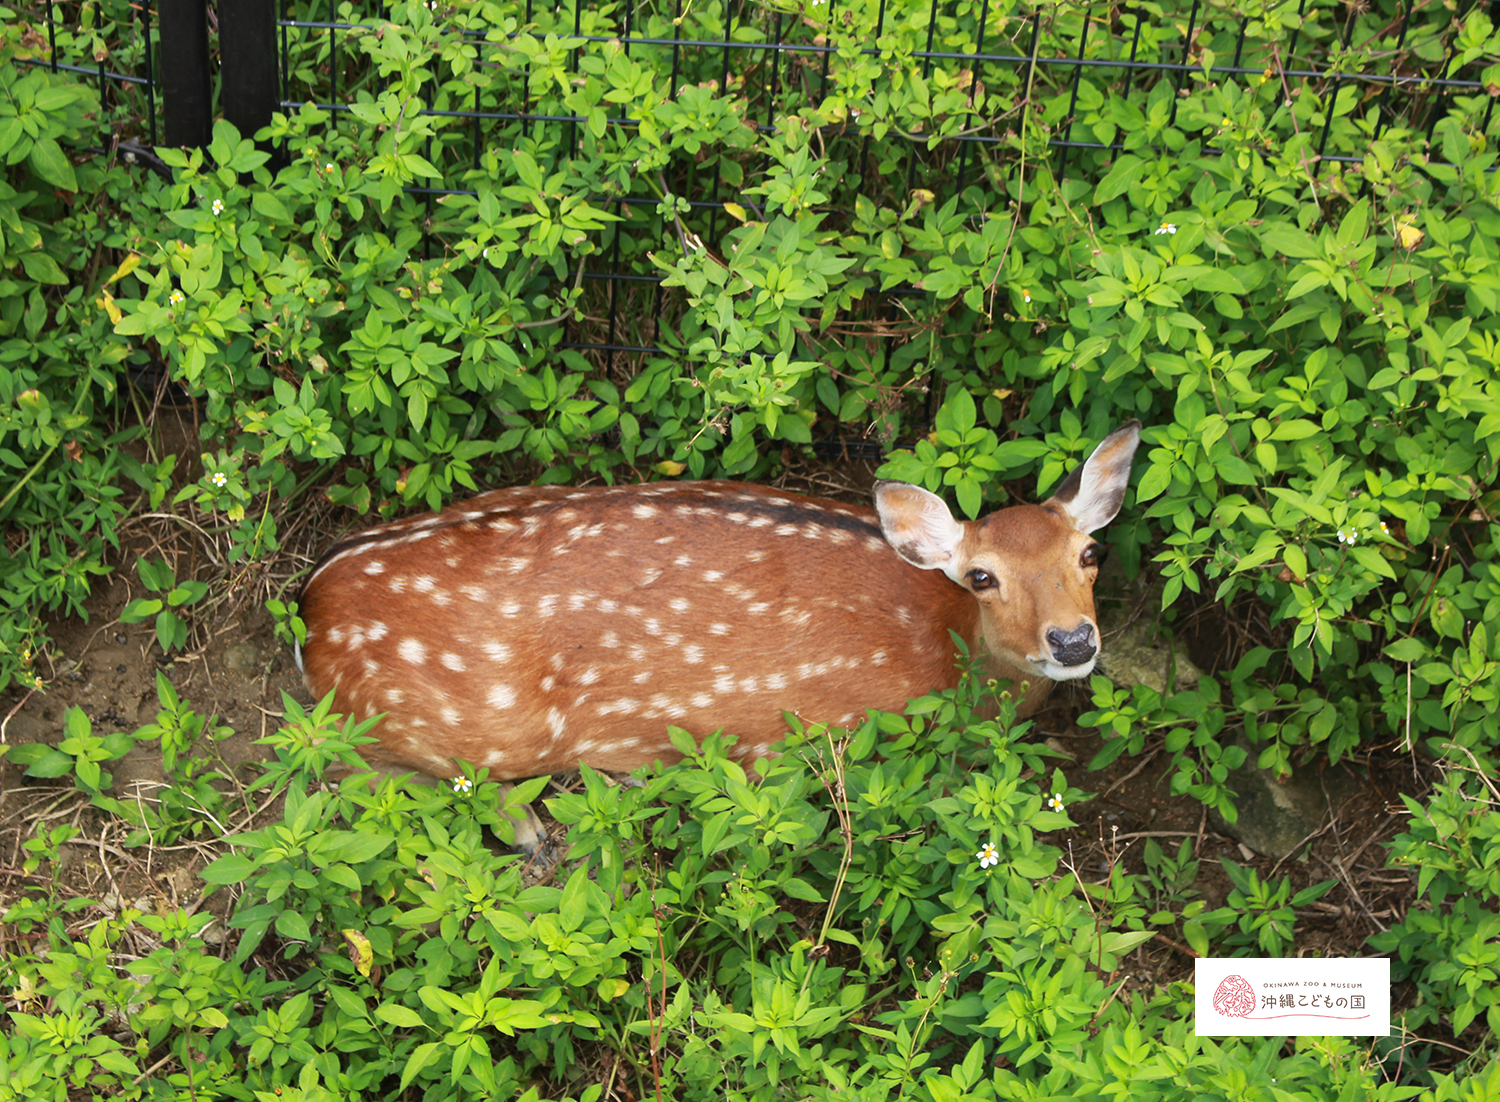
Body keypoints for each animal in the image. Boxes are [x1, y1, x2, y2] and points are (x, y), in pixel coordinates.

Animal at [295, 422, 1134, 791]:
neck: (943, 644)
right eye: (983, 576)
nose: (1072, 642)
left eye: (1089, 555)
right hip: (447, 724)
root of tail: (310, 597)